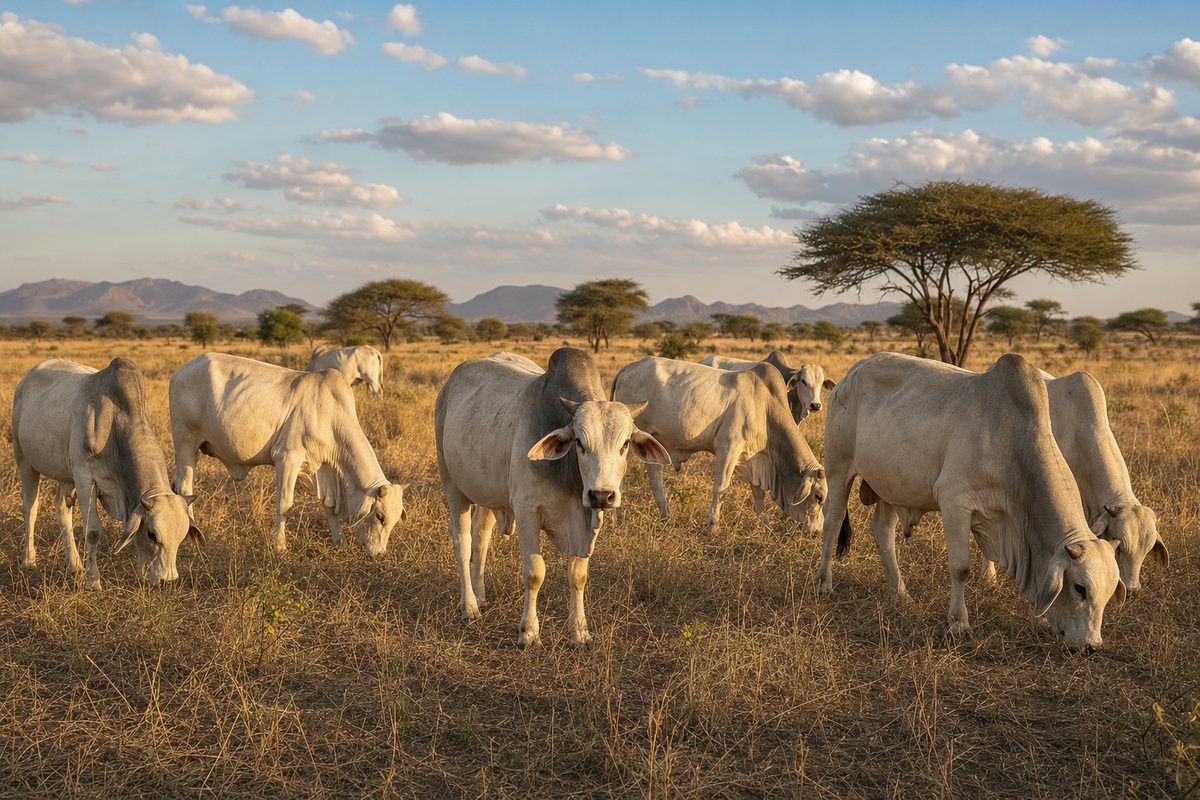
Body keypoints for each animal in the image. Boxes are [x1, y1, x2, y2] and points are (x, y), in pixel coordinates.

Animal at [13, 358, 203, 588]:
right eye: (152, 535)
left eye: (182, 536)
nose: (168, 580)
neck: (115, 422)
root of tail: (25, 380)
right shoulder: (84, 477)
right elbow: (93, 531)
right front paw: (93, 580)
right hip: (24, 459)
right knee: (30, 507)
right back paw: (28, 559)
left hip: (65, 475)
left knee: (62, 510)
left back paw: (74, 564)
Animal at [169, 353, 405, 557]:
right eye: (380, 516)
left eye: (394, 521)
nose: (379, 553)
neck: (330, 415)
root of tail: (180, 371)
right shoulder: (287, 458)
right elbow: (284, 504)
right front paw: (279, 546)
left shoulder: (322, 469)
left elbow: (329, 508)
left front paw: (340, 542)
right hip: (185, 443)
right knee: (185, 486)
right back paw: (192, 532)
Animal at [435, 347, 670, 648]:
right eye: (579, 442)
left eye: (626, 443)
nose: (602, 495)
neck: (570, 479)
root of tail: (449, 383)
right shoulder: (527, 512)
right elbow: (535, 572)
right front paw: (528, 632)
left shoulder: (585, 523)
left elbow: (578, 576)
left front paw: (579, 631)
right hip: (452, 485)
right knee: (462, 543)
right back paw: (470, 606)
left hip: (488, 492)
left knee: (481, 538)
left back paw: (481, 595)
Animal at [611, 357, 826, 532]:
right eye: (819, 497)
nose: (818, 531)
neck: (765, 407)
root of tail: (629, 367)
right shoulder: (728, 448)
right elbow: (721, 487)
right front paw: (712, 525)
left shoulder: (755, 458)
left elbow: (758, 492)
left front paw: (764, 522)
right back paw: (614, 520)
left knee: (655, 479)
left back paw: (667, 516)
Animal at [816, 352, 1124, 650]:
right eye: (1080, 588)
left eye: (1110, 593)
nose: (1092, 645)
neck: (1010, 442)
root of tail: (851, 373)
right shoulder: (955, 502)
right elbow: (960, 567)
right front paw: (959, 622)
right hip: (838, 467)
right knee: (832, 522)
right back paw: (824, 582)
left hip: (889, 485)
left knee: (883, 532)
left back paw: (900, 593)